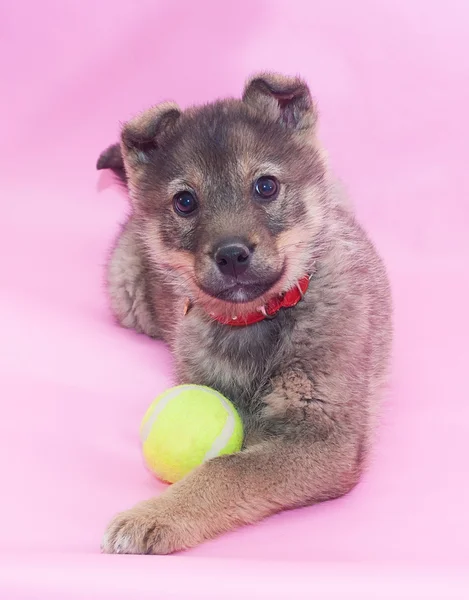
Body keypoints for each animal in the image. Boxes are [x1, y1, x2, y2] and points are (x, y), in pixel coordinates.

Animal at [96, 72, 392, 556]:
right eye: (185, 202)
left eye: (266, 186)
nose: (232, 255)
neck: (260, 319)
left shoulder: (323, 436)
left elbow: (227, 469)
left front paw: (152, 516)